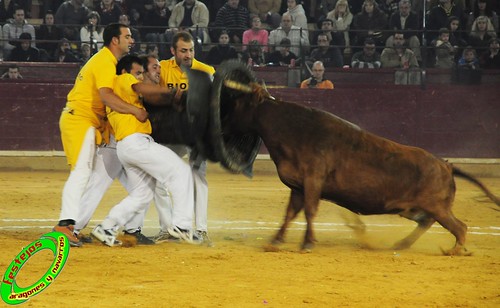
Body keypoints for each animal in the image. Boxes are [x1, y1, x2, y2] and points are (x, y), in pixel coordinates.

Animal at [212, 60, 500, 255]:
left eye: (237, 102)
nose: (220, 126)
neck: (292, 129)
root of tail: (446, 165)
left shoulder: (313, 181)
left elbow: (310, 211)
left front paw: (307, 243)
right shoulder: (297, 186)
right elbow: (290, 213)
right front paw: (275, 241)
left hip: (437, 206)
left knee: (459, 227)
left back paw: (453, 250)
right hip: (414, 207)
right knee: (427, 222)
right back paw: (401, 244)